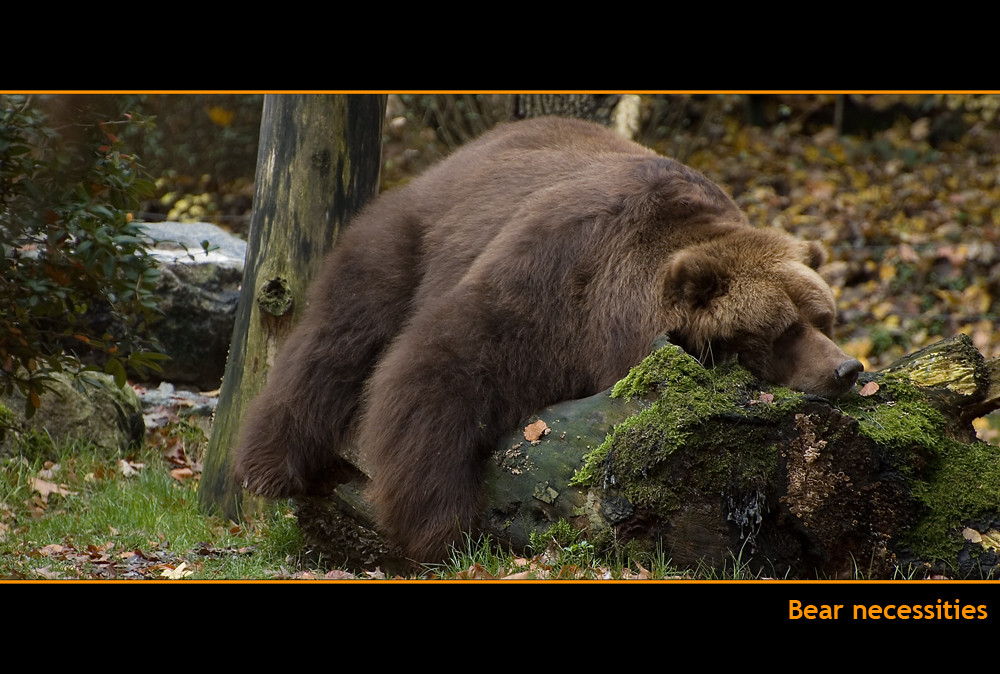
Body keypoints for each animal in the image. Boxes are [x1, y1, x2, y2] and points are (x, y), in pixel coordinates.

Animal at [230, 117, 864, 560]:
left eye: (825, 318)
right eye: (783, 329)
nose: (847, 369)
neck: (616, 314)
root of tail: (467, 149)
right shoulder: (558, 281)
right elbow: (446, 364)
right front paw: (441, 527)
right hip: (412, 238)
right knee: (340, 335)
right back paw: (269, 462)